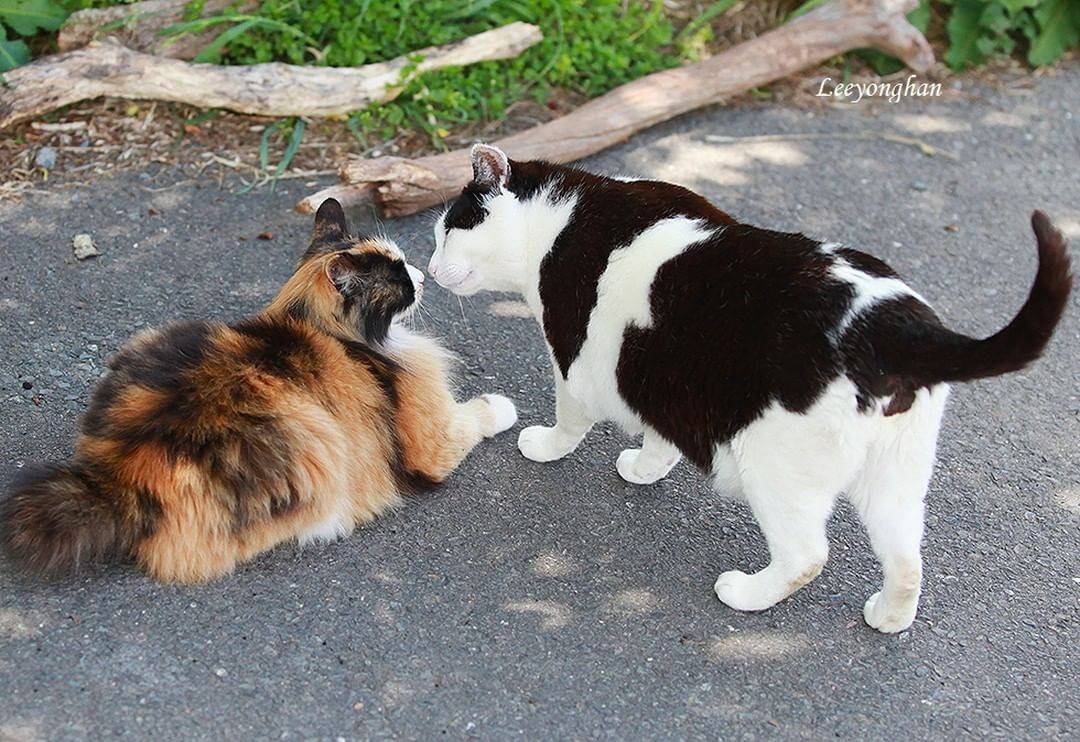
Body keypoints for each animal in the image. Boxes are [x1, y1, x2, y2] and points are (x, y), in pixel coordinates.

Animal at [0, 199, 516, 583]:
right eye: (398, 277)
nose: (425, 276)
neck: (321, 326)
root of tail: (120, 476)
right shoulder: (432, 442)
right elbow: (476, 415)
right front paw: (504, 407)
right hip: (315, 441)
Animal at [427, 143, 1071, 630]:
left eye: (447, 230)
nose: (428, 271)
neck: (561, 218)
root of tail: (897, 328)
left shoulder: (576, 359)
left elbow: (571, 417)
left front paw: (548, 446)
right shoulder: (662, 373)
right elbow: (660, 428)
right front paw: (648, 466)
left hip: (777, 468)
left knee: (809, 555)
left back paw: (747, 594)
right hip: (896, 475)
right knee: (907, 557)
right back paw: (889, 617)